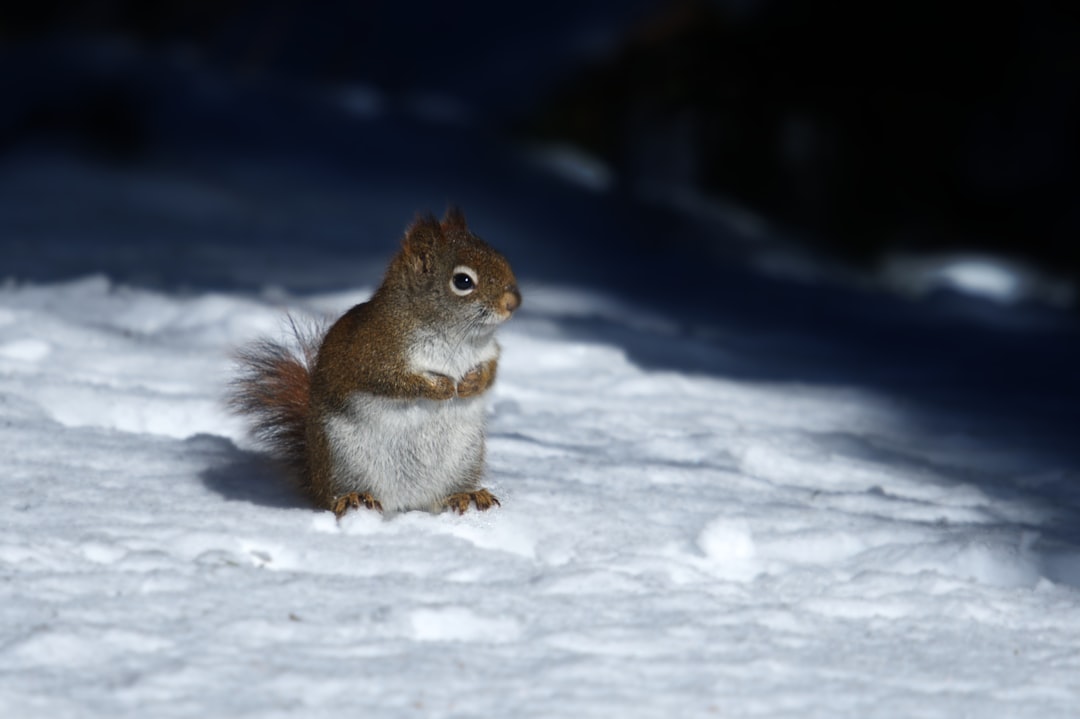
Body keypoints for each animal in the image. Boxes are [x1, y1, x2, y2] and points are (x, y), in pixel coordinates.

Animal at [232, 207, 522, 516]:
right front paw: (440, 387)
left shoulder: (488, 351)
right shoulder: (371, 353)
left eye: (500, 257)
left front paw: (472, 383)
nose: (513, 303)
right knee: (334, 497)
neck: (456, 335)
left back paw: (464, 495)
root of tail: (406, 502)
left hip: (465, 457)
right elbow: (393, 382)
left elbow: (491, 370)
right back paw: (354, 498)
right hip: (342, 459)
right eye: (463, 281)